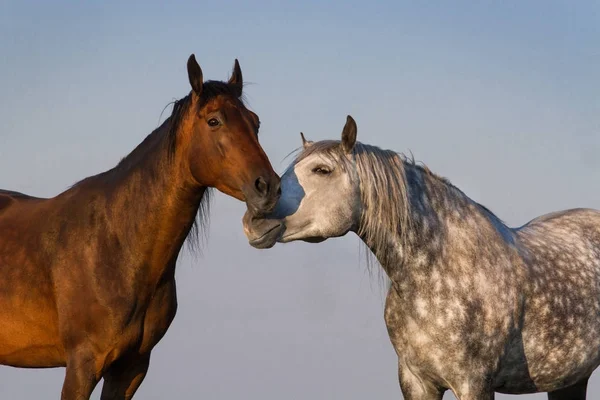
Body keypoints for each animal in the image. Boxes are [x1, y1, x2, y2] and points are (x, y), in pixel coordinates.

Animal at [0, 54, 282, 398]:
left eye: (255, 122)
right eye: (214, 121)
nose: (268, 187)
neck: (116, 244)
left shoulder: (131, 367)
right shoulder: (82, 365)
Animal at [243, 114, 600, 398]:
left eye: (322, 169)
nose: (254, 220)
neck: (439, 274)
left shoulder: (473, 383)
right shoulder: (416, 381)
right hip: (569, 380)